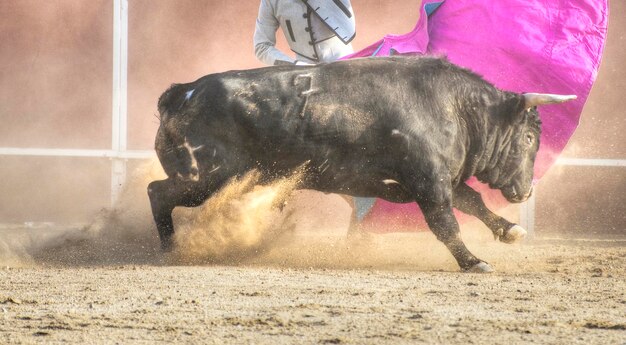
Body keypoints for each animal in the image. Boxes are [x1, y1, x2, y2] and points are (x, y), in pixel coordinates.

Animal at [149, 56, 572, 272]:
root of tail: (183, 93)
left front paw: (509, 230)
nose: (526, 192)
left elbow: (473, 202)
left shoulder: (442, 181)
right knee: (157, 192)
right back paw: (170, 248)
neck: (456, 107)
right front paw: (473, 261)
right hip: (205, 178)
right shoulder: (430, 184)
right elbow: (446, 223)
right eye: (529, 138)